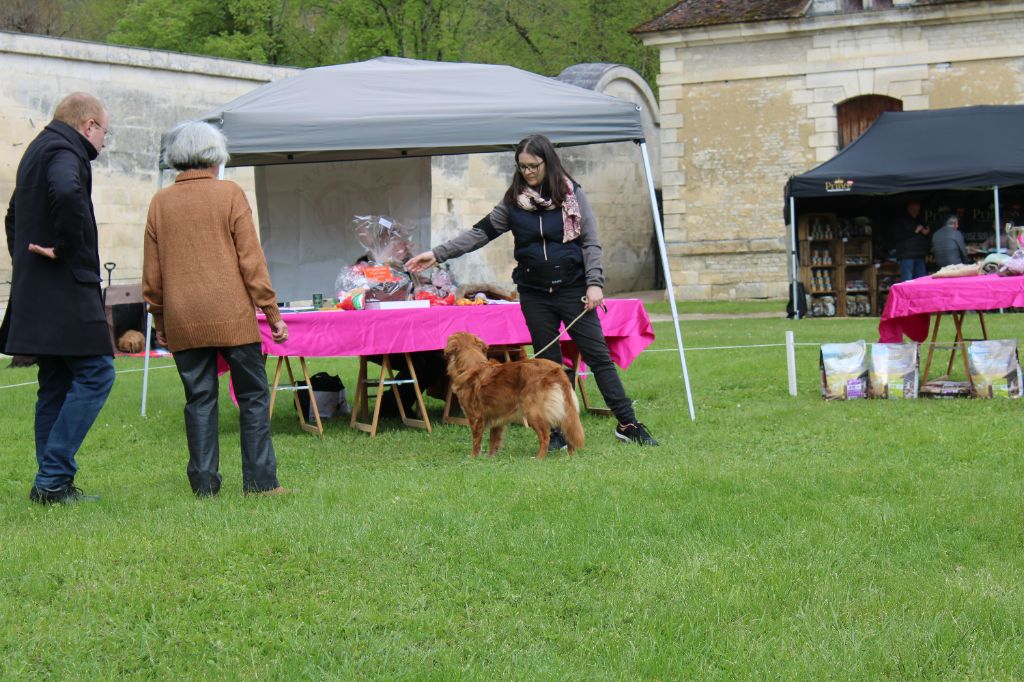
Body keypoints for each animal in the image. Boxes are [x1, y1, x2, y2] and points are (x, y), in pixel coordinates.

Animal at [444, 332, 584, 458]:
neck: (472, 365)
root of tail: (556, 369)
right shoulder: (497, 417)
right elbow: (494, 440)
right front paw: (490, 457)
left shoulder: (475, 418)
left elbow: (476, 441)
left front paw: (473, 457)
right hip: (562, 409)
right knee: (567, 432)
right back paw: (570, 456)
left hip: (533, 412)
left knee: (545, 437)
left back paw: (539, 458)